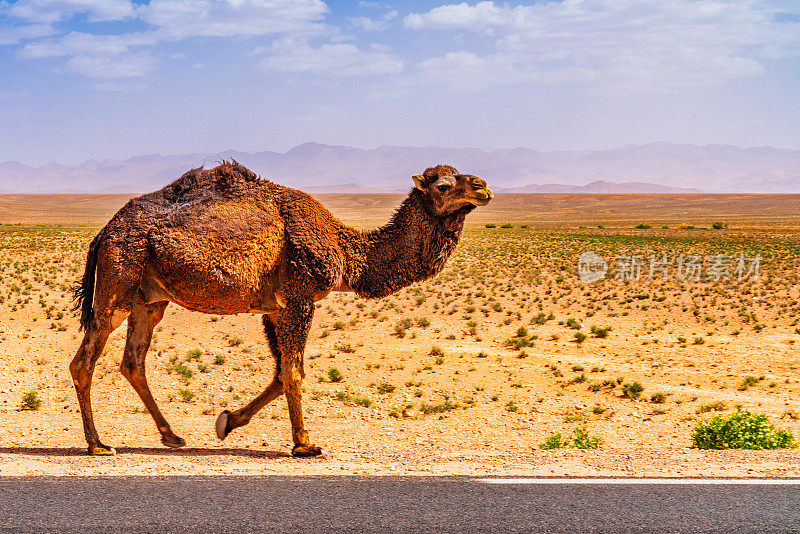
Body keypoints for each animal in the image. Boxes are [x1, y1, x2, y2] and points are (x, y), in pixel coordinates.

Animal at [70, 161, 494, 458]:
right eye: (443, 185)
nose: (484, 187)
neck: (346, 252)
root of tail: (104, 231)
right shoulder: (299, 297)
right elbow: (293, 372)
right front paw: (305, 444)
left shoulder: (273, 308)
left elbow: (279, 374)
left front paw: (228, 421)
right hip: (118, 281)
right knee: (84, 361)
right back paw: (98, 445)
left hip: (149, 298)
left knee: (132, 361)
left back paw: (171, 435)